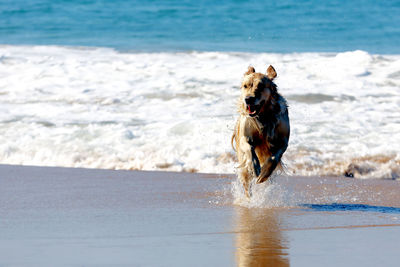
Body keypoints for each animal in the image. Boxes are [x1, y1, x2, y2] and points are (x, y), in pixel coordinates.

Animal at [231, 66, 290, 198]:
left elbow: (274, 157)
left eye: (261, 86)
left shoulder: (283, 141)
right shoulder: (245, 137)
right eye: (245, 86)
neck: (263, 116)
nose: (248, 99)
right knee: (247, 184)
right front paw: (254, 167)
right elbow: (249, 148)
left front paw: (263, 173)